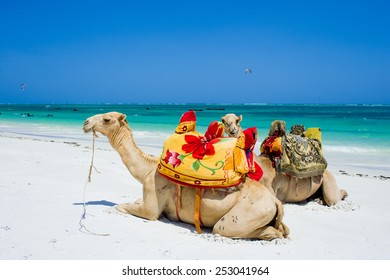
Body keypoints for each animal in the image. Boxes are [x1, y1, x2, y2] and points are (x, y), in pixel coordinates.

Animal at [83, 111, 290, 241]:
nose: (85, 123)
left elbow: (121, 207)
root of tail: (276, 202)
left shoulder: (151, 205)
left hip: (246, 215)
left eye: (107, 119)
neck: (147, 169)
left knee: (232, 229)